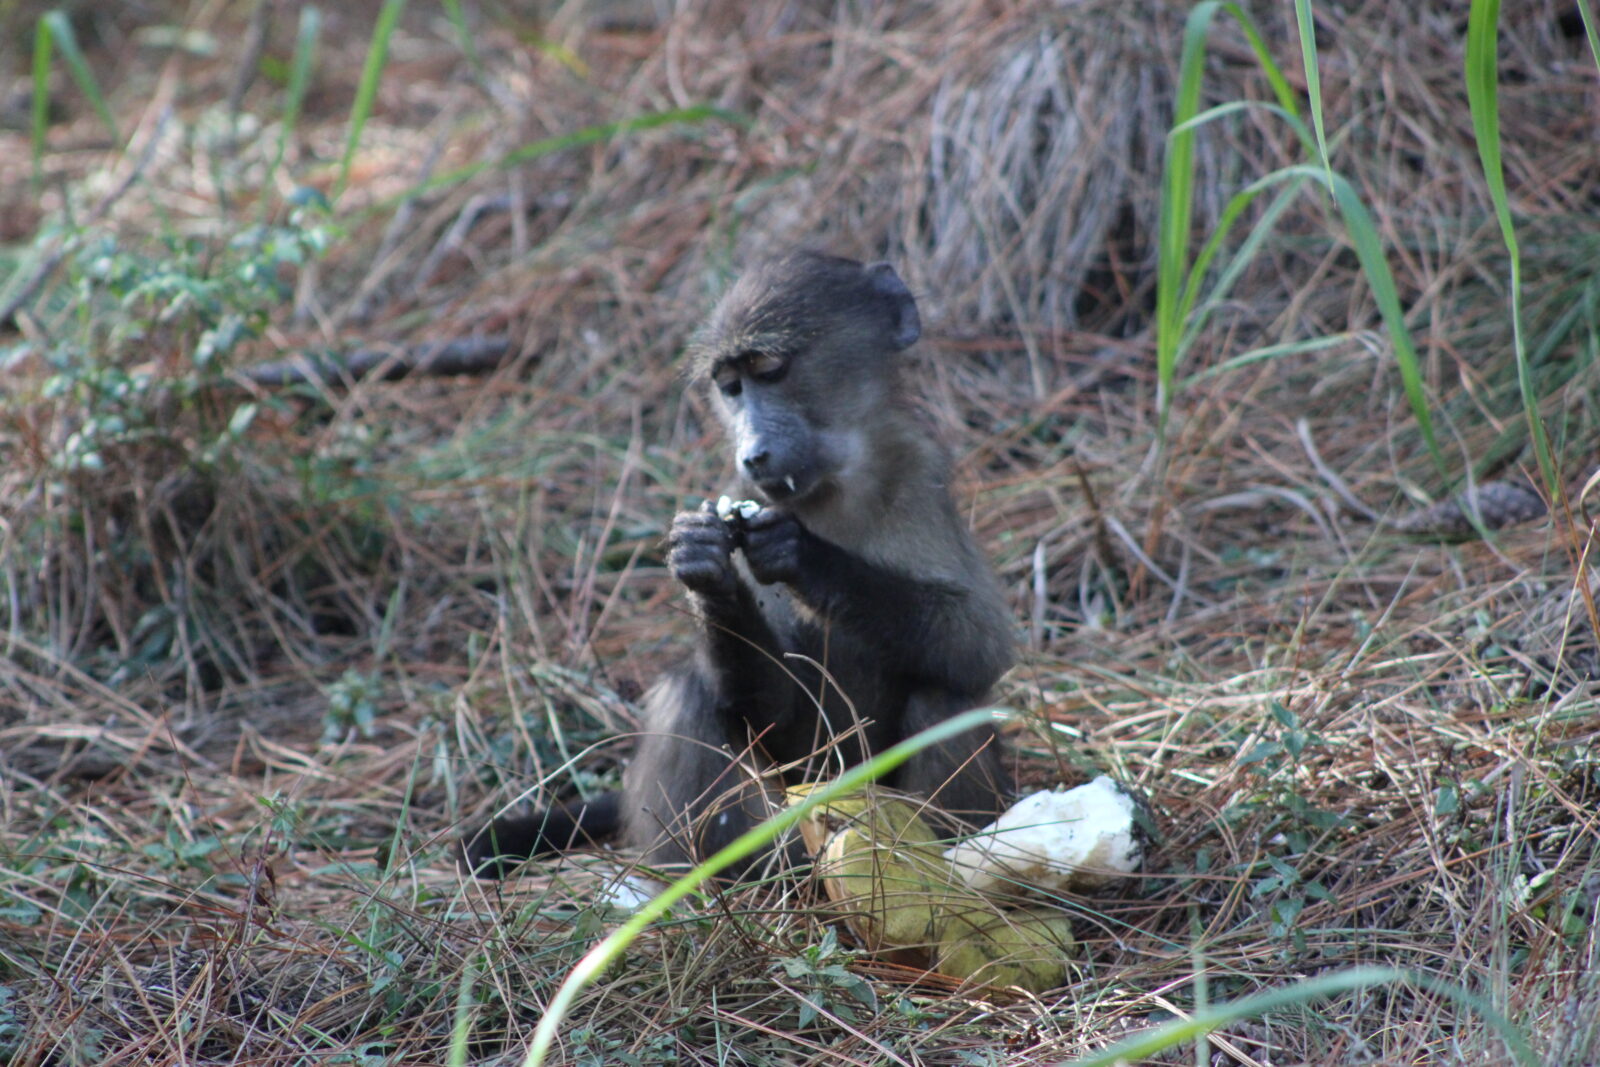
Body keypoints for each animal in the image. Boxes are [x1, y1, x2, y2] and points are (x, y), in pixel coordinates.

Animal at [461, 250, 1015, 879]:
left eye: (770, 369)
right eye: (730, 388)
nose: (753, 453)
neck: (833, 487)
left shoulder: (918, 474)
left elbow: (980, 644)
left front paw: (801, 554)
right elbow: (772, 711)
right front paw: (707, 570)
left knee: (944, 697)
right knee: (687, 693)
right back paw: (716, 880)